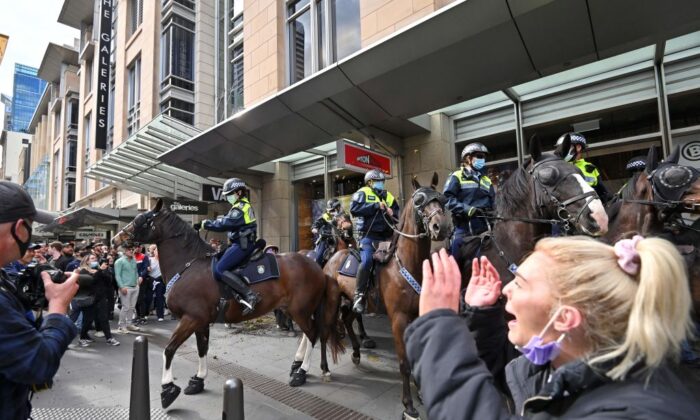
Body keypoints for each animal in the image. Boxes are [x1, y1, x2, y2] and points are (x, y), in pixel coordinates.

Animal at [113, 200, 344, 410]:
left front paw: (167, 389)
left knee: (313, 333)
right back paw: (301, 364)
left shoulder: (191, 319)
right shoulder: (200, 321)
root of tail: (317, 267)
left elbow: (169, 350)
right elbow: (202, 348)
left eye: (140, 219)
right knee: (309, 334)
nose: (116, 239)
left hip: (300, 310)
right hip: (298, 310)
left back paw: (301, 372)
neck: (188, 265)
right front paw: (198, 380)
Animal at [322, 172, 448, 418]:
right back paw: (324, 369)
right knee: (324, 333)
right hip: (331, 303)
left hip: (351, 302)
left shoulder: (417, 315)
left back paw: (357, 353)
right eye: (419, 200)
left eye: (441, 198)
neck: (407, 264)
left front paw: (421, 393)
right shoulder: (399, 319)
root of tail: (333, 257)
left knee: (348, 320)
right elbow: (404, 362)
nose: (442, 226)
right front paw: (408, 406)